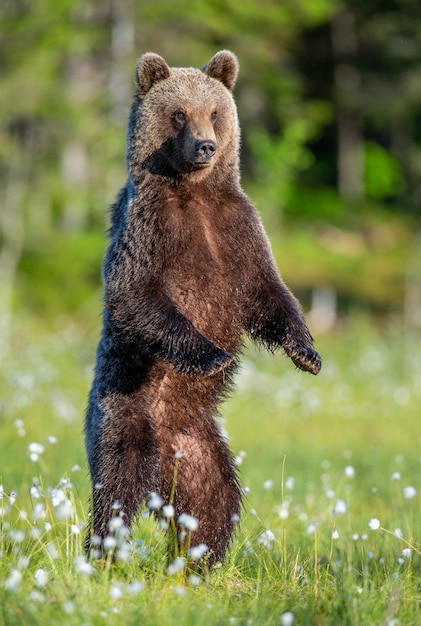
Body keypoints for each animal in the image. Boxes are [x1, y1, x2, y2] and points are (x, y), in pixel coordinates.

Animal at [85, 50, 320, 564]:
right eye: (178, 113)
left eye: (213, 112)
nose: (206, 147)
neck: (192, 193)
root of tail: (167, 456)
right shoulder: (148, 230)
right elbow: (136, 296)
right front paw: (213, 354)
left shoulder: (237, 228)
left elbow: (269, 293)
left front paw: (307, 353)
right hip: (124, 411)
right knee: (118, 486)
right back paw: (104, 554)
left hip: (202, 449)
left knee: (216, 500)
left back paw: (198, 560)